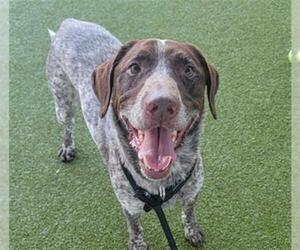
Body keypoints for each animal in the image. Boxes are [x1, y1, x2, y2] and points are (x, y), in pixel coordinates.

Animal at [47, 18, 219, 249]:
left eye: (189, 70)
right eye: (134, 67)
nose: (162, 104)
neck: (160, 184)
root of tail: (69, 23)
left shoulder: (193, 190)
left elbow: (189, 212)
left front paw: (192, 231)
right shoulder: (129, 204)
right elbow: (135, 228)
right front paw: (137, 244)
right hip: (61, 101)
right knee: (67, 126)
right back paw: (67, 148)